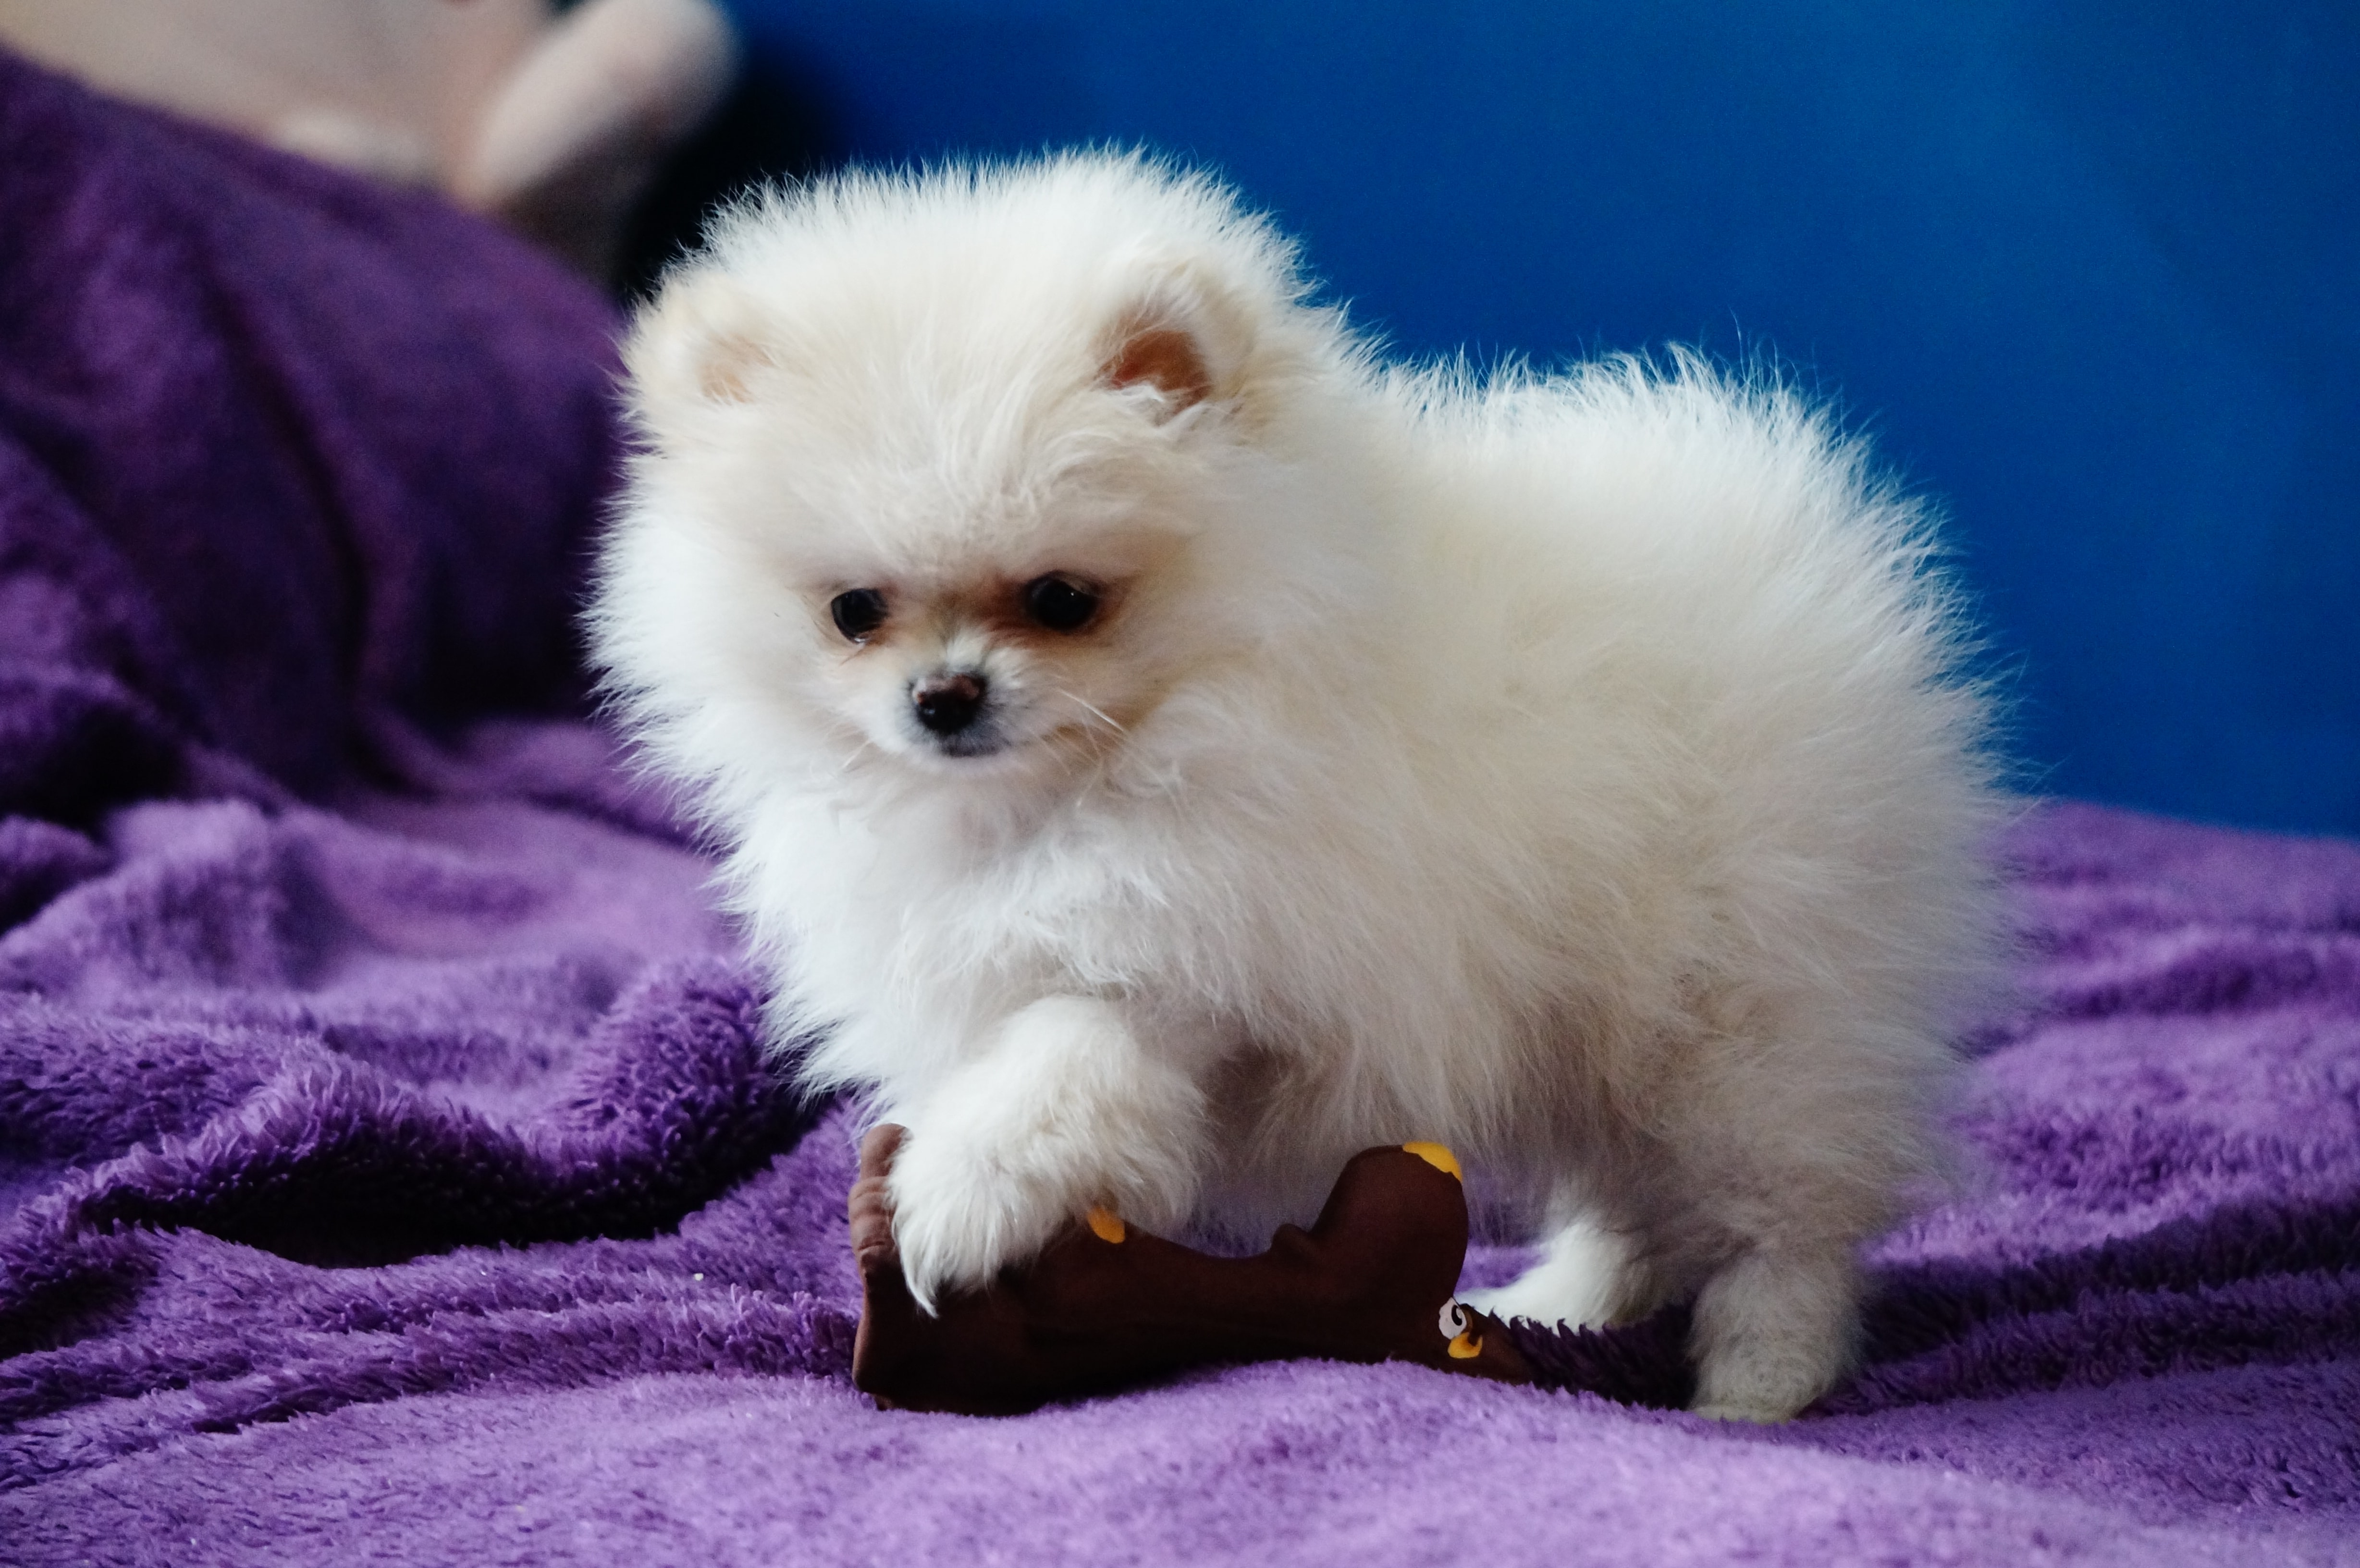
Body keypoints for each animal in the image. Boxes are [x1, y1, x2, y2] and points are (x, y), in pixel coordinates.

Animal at [594, 156, 2011, 1417]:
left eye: (1063, 599)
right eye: (853, 611)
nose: (944, 696)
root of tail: (1804, 552)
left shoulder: (1199, 942)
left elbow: (1068, 1055)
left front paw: (960, 1198)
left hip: (1742, 1014)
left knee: (1779, 1209)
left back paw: (1756, 1383)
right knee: (1637, 1195)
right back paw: (1570, 1301)